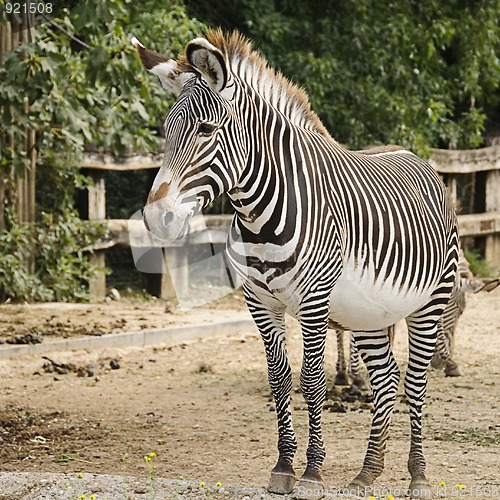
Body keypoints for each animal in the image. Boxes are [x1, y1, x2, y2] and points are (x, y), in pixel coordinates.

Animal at [132, 29, 458, 498]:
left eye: (206, 129)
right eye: (165, 131)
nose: (158, 219)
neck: (260, 216)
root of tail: (417, 158)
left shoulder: (314, 302)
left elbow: (312, 380)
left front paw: (312, 472)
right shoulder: (259, 303)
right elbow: (280, 378)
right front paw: (284, 467)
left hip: (432, 301)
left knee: (414, 382)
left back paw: (418, 475)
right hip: (370, 314)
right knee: (385, 380)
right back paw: (368, 472)